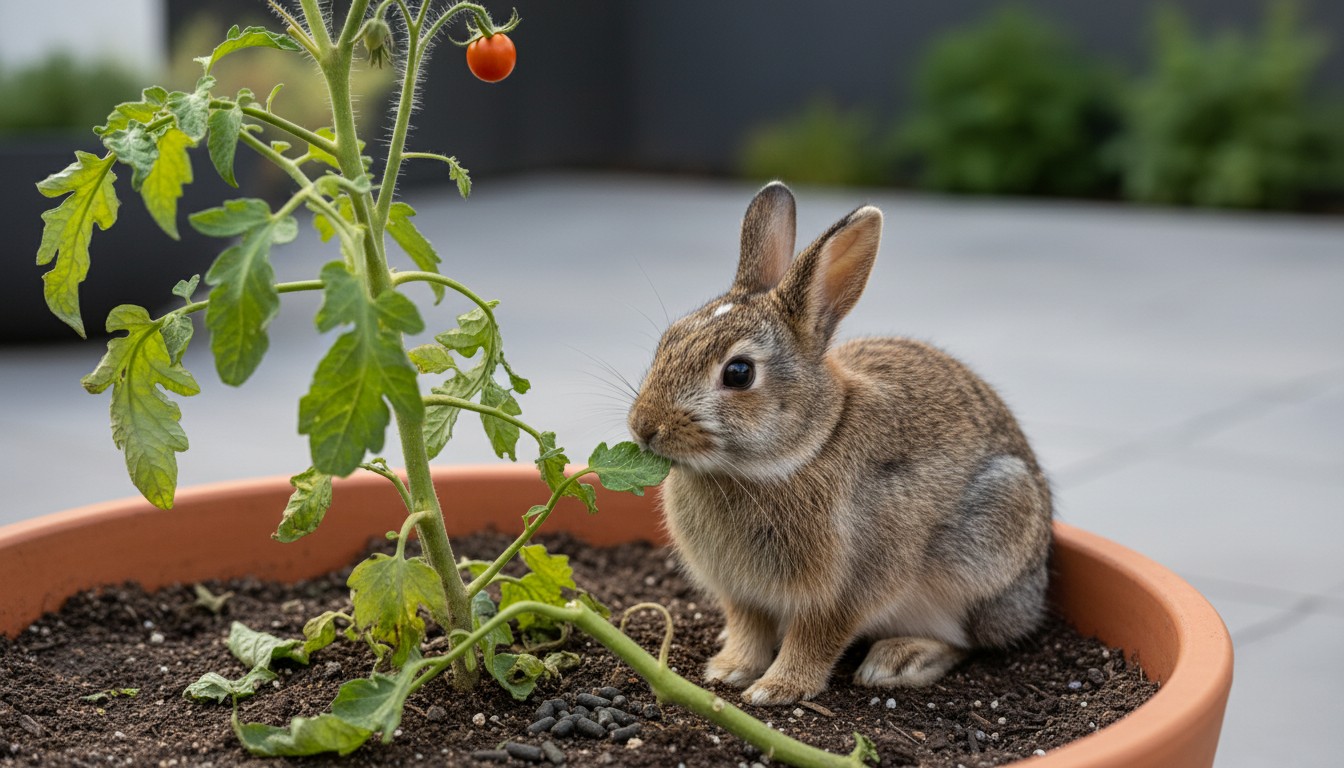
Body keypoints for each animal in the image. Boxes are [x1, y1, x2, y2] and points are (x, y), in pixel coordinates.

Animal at [626, 182, 1054, 706]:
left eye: (739, 373)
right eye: (670, 339)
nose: (644, 426)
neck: (807, 446)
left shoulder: (847, 587)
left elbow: (817, 638)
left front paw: (776, 690)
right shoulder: (742, 592)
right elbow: (748, 626)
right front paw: (728, 671)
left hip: (984, 552)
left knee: (969, 639)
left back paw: (899, 660)